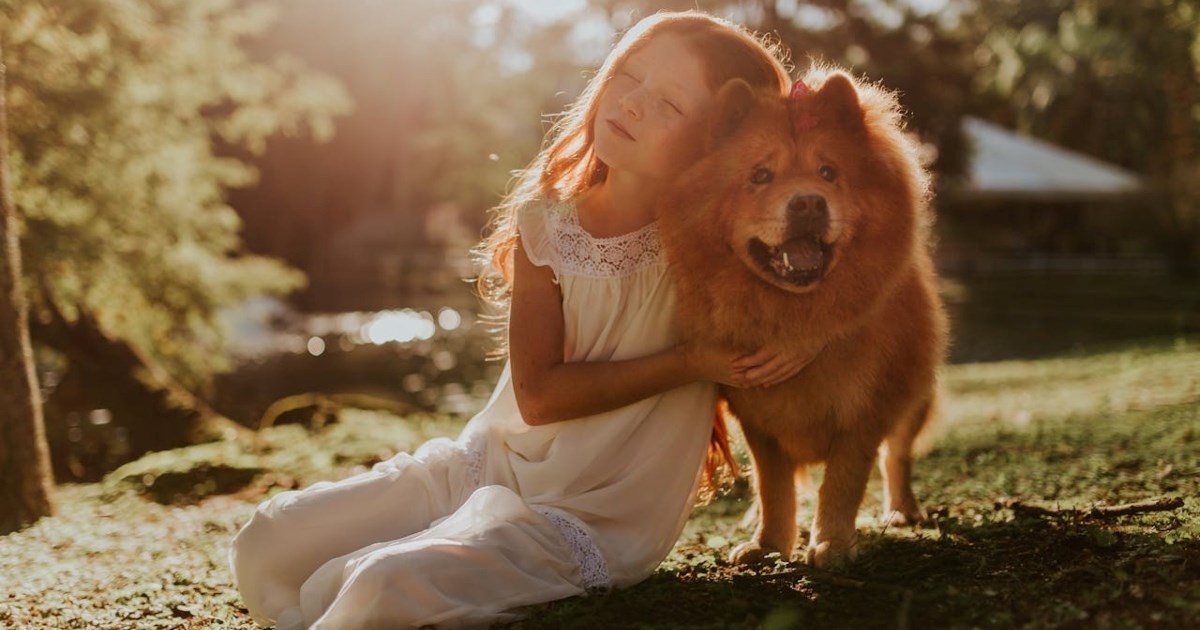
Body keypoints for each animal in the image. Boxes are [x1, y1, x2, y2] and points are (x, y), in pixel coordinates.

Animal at [657, 67, 945, 564]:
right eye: (760, 175)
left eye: (828, 172)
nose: (808, 202)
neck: (794, 312)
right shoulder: (757, 419)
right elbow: (773, 485)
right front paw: (768, 543)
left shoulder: (866, 410)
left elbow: (844, 482)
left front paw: (831, 543)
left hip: (914, 394)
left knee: (897, 455)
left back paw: (902, 511)